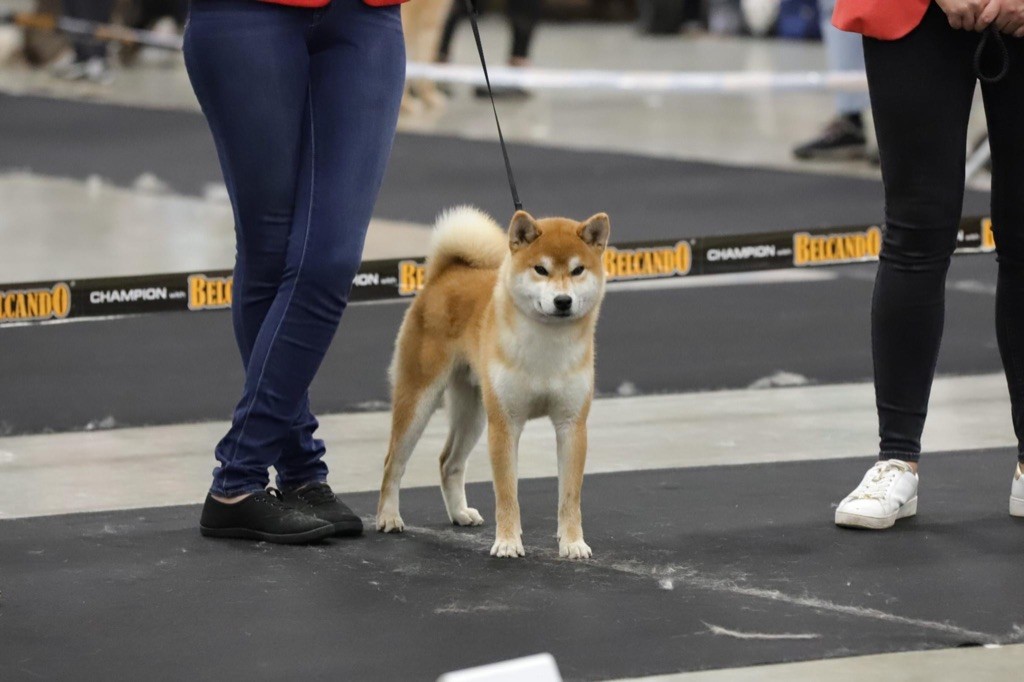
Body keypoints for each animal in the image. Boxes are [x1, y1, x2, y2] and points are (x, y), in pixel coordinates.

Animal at [380, 205, 610, 557]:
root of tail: (445, 274)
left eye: (578, 270)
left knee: (448, 462)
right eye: (540, 269)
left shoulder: (572, 425)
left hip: (473, 412)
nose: (562, 301)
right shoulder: (505, 424)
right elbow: (506, 493)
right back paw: (389, 517)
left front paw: (572, 542)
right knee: (393, 462)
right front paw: (507, 542)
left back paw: (459, 513)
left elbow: (569, 497)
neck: (547, 344)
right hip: (419, 400)